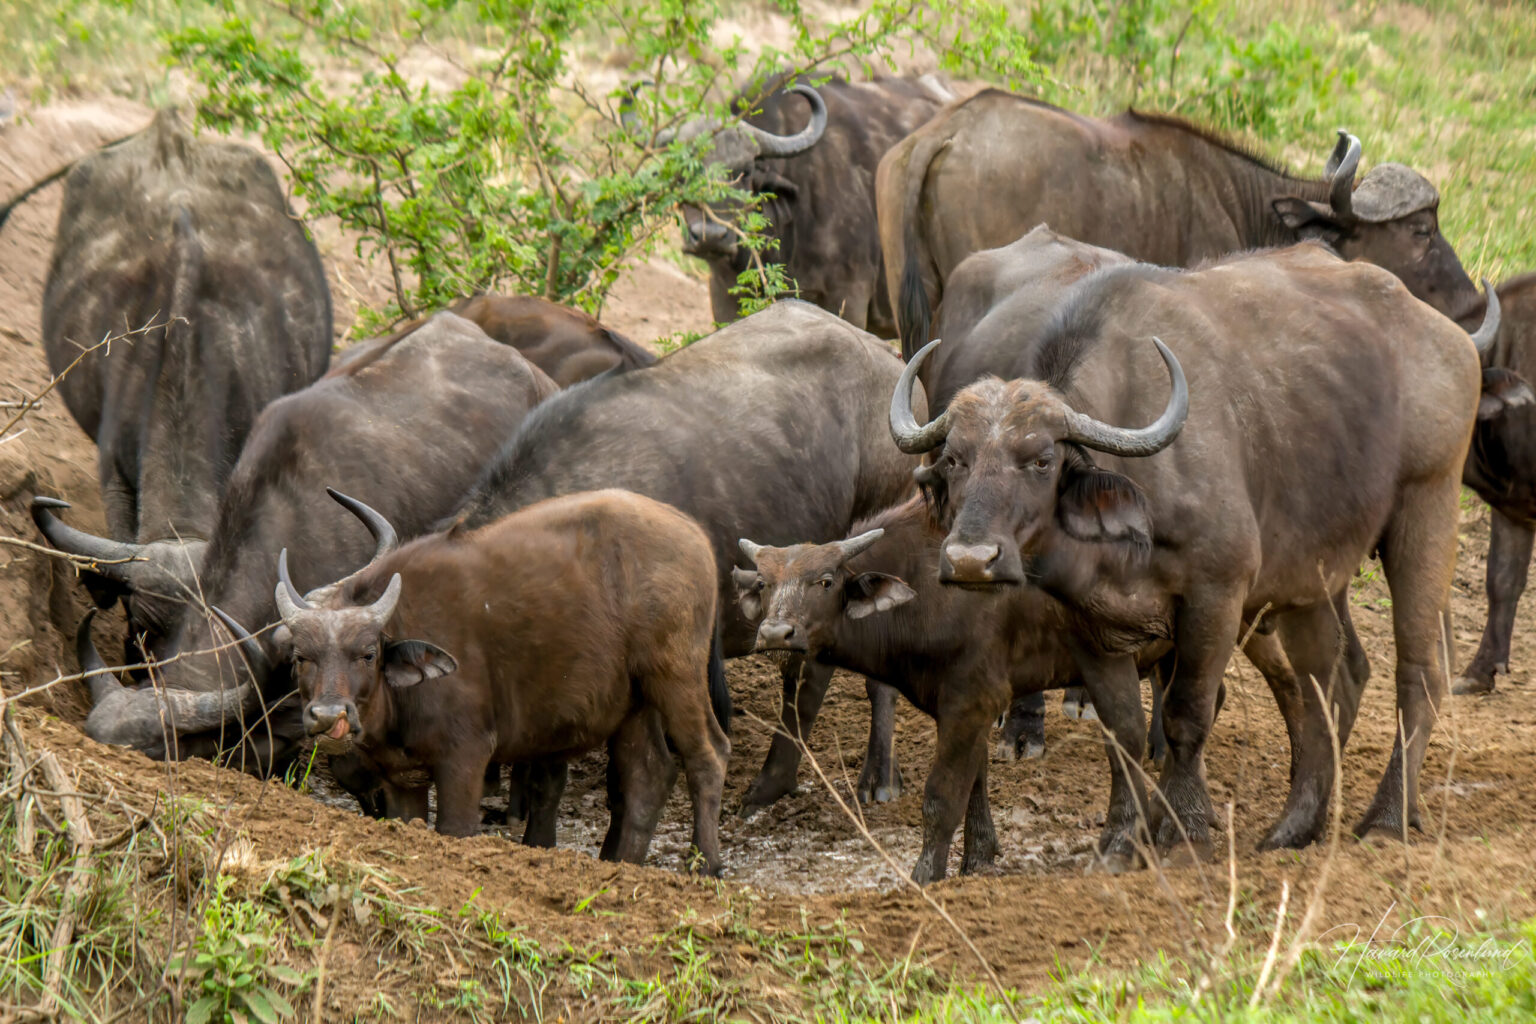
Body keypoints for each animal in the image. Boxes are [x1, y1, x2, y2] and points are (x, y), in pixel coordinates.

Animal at [890, 242, 1499, 867]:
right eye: (955, 459)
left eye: (1040, 460)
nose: (970, 560)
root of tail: (1447, 335)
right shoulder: (1092, 625)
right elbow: (1124, 732)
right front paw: (1120, 840)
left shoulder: (1217, 596)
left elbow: (1186, 714)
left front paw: (1184, 831)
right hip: (1312, 570)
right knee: (1335, 679)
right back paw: (1294, 826)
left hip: (1428, 507)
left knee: (1420, 671)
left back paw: (1386, 818)